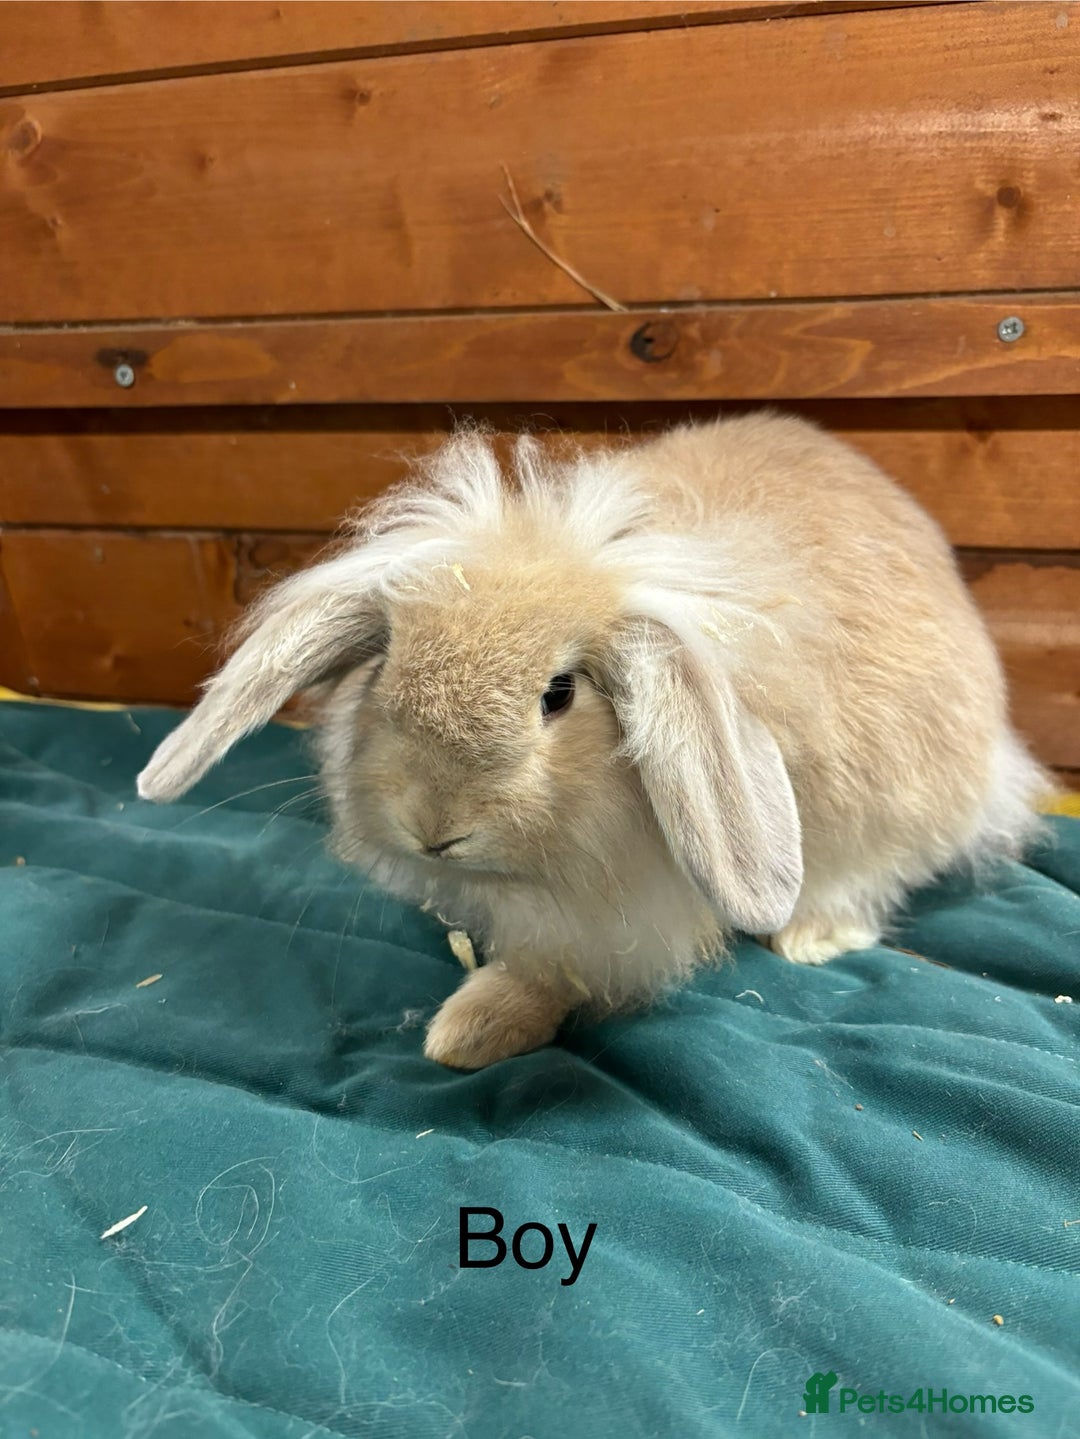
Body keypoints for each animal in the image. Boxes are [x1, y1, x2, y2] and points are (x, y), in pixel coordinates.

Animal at [137, 412, 1048, 1069]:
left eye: (559, 694)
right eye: (386, 664)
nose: (434, 827)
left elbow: (558, 970)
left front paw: (470, 1030)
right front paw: (470, 1031)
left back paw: (809, 934)